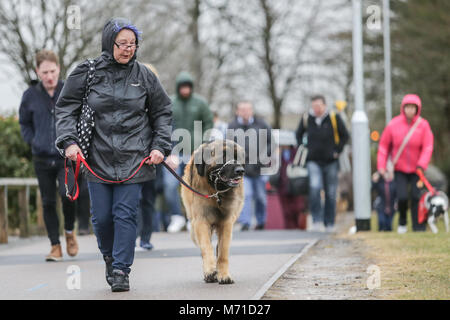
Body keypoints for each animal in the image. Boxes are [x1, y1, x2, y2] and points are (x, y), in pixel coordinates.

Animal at [180, 139, 244, 284]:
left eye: (238, 157)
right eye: (224, 156)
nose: (241, 171)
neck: (216, 192)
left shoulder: (226, 223)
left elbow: (223, 252)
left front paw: (223, 274)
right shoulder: (201, 221)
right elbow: (206, 246)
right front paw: (210, 271)